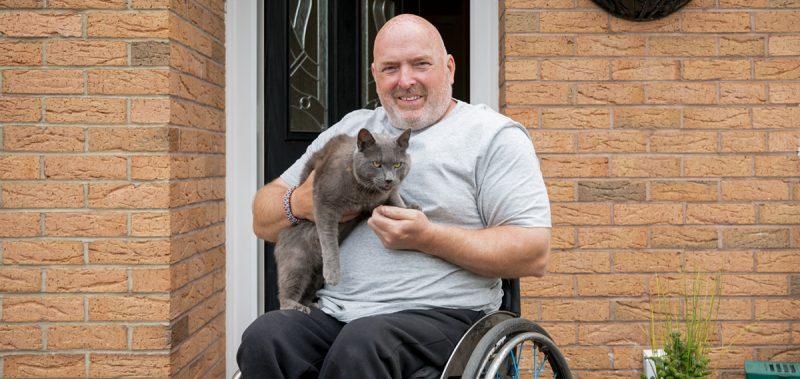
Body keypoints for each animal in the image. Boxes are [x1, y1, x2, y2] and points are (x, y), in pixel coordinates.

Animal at [274, 129, 412, 314]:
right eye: (376, 164)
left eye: (398, 165)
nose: (389, 179)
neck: (364, 193)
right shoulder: (324, 203)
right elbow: (329, 240)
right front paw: (333, 274)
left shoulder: (382, 197)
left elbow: (396, 198)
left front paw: (410, 208)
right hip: (297, 260)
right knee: (287, 290)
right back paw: (296, 306)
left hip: (316, 277)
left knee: (308, 289)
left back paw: (311, 304)